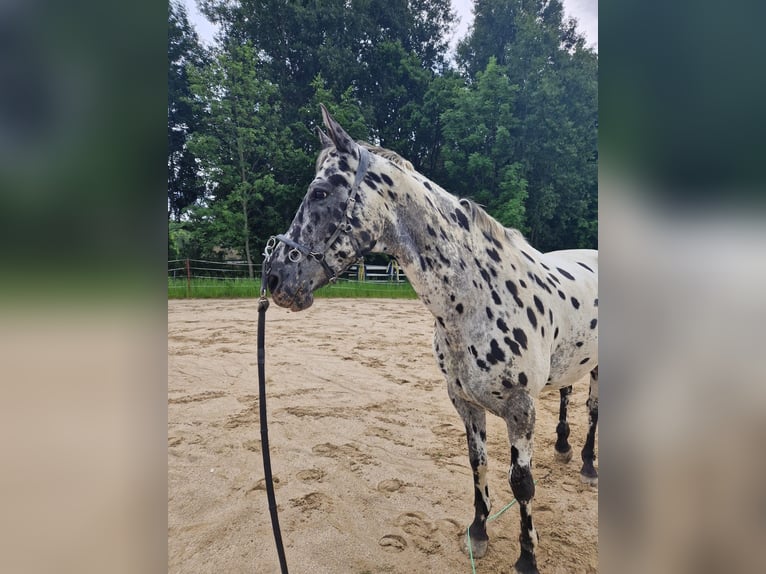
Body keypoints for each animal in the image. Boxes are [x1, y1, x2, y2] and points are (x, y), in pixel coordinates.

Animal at [264, 105, 598, 573]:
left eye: (321, 192)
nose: (275, 277)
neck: (478, 298)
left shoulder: (520, 410)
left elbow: (522, 484)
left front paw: (528, 557)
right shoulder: (464, 402)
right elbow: (478, 465)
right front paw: (478, 533)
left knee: (594, 410)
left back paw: (587, 465)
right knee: (569, 395)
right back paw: (566, 448)